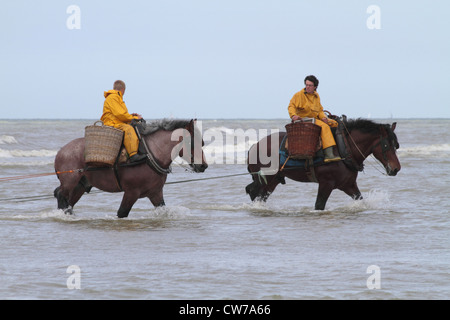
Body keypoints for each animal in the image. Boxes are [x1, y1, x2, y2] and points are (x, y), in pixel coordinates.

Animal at [54, 119, 207, 219]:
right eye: (191, 142)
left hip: (80, 185)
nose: (203, 165)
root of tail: (61, 151)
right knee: (61, 196)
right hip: (70, 182)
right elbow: (122, 212)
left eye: (202, 142)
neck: (150, 155)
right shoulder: (131, 192)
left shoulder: (155, 193)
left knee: (67, 201)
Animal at [246, 117, 400, 210]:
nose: (396, 168)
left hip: (274, 180)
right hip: (265, 179)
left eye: (396, 145)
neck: (344, 148)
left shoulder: (348, 185)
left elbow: (361, 199)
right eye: (387, 145)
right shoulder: (326, 183)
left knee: (257, 194)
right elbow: (319, 205)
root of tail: (254, 147)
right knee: (253, 191)